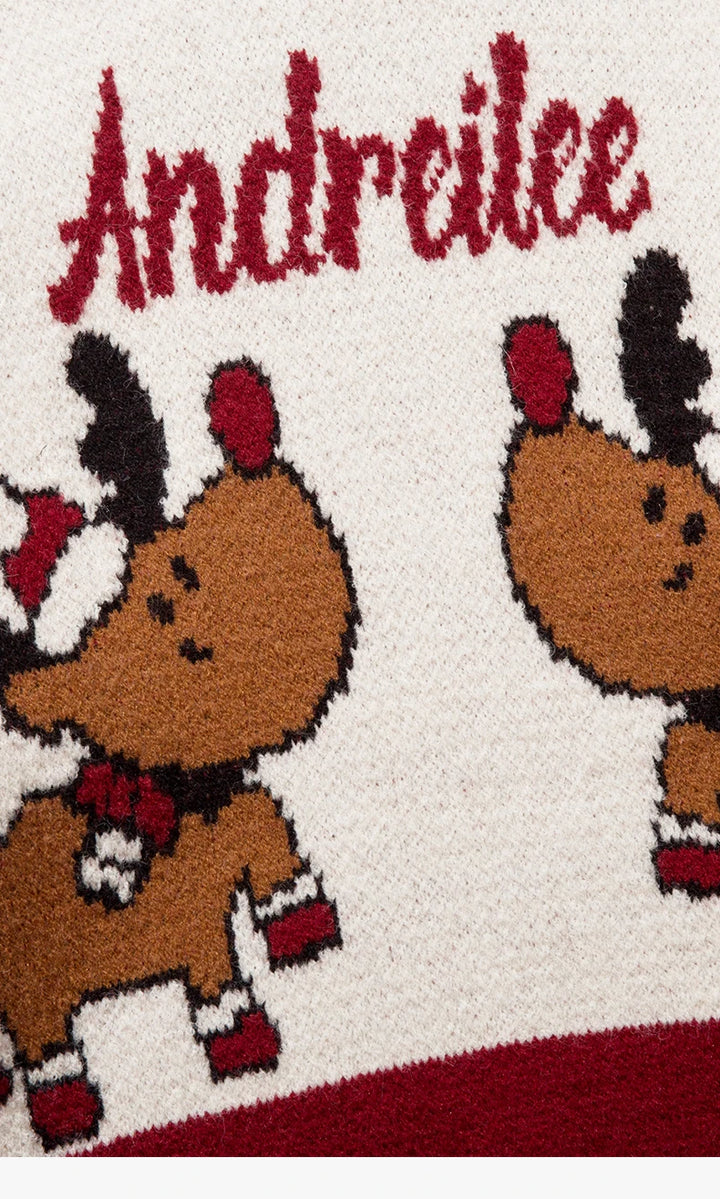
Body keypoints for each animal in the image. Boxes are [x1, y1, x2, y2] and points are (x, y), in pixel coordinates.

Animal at [0, 332, 358, 1150]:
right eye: (169, 599)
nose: (245, 427)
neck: (165, 791)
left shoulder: (211, 889)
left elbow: (261, 820)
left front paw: (296, 915)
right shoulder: (190, 920)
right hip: (36, 1001)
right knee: (45, 1048)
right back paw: (70, 1110)